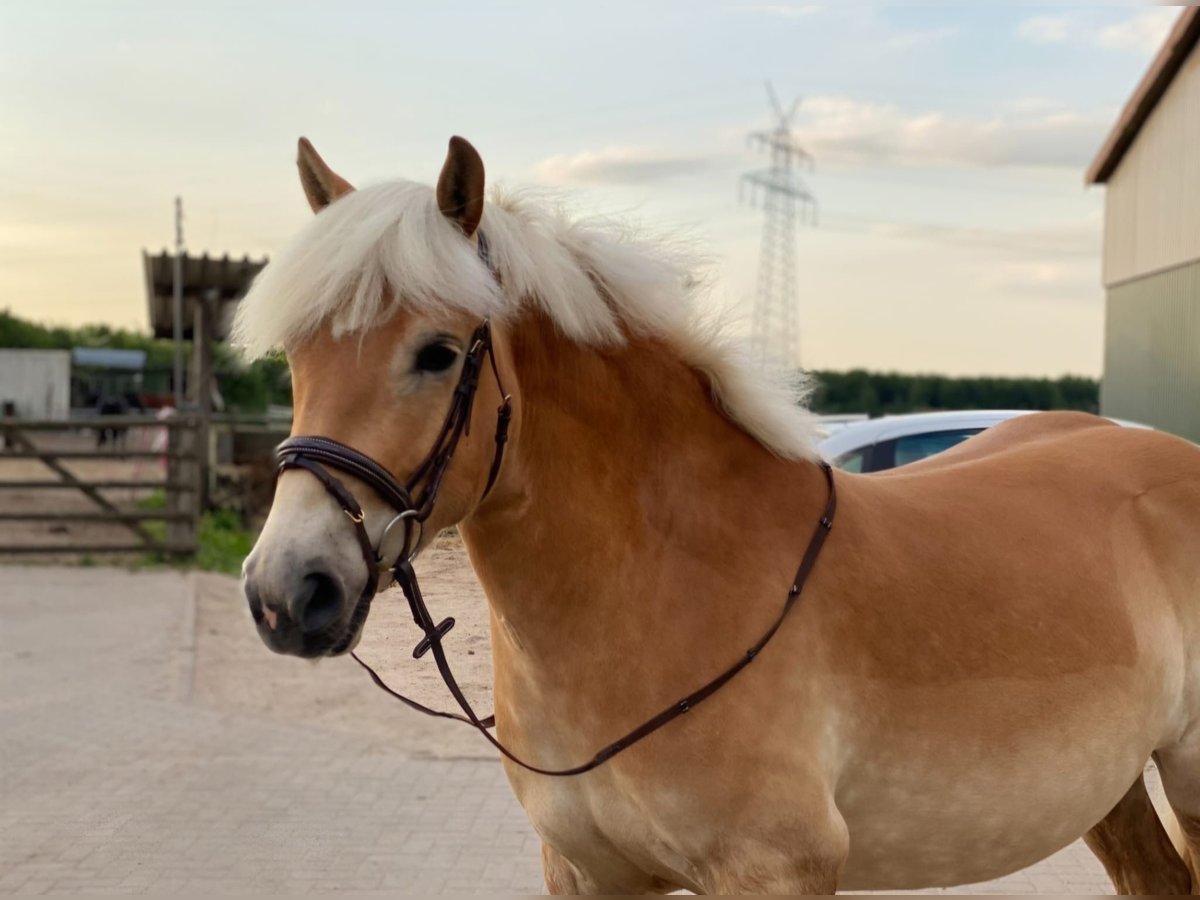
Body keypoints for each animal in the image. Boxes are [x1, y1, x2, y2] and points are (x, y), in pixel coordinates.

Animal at [236, 133, 1200, 897]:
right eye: (295, 353)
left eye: (436, 353)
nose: (288, 592)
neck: (667, 583)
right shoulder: (587, 874)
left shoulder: (773, 869)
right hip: (1111, 787)